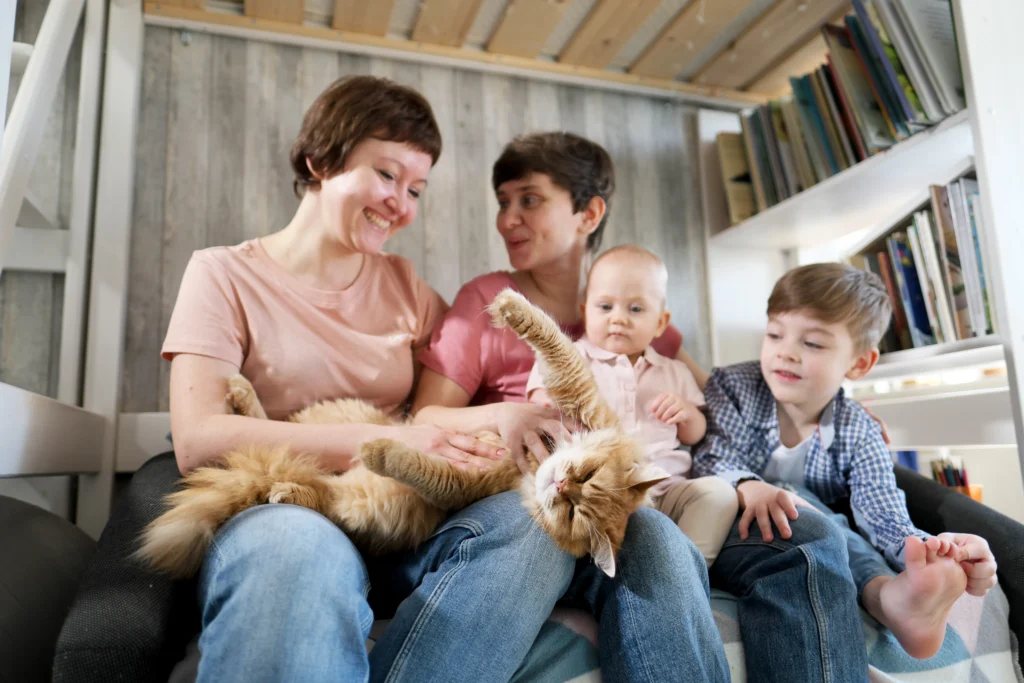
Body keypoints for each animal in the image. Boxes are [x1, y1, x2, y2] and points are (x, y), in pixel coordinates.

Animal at [136, 288, 667, 577]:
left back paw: (289, 487)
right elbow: (552, 338)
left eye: (574, 513)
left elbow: (417, 465)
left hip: (365, 502)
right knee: (270, 424)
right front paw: (509, 306)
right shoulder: (575, 391)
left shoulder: (458, 486)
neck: (535, 464)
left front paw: (380, 452)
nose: (559, 485)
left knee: (317, 489)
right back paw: (243, 394)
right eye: (586, 478)